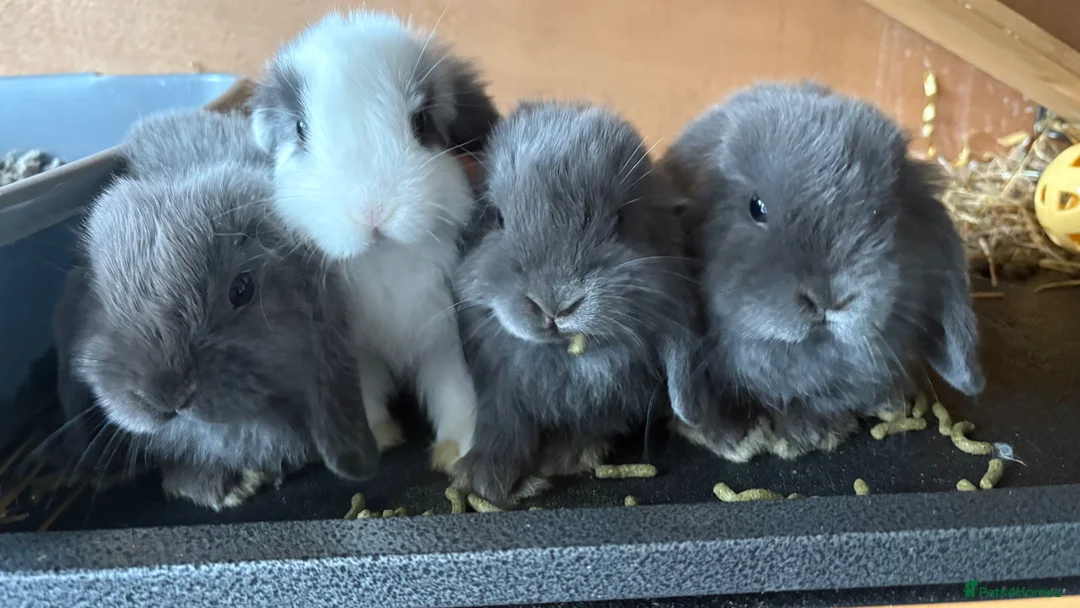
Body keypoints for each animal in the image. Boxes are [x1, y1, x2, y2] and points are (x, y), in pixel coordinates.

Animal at [248, 9, 501, 473]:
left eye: (421, 122)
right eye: (301, 129)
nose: (373, 213)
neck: (385, 260)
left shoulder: (446, 342)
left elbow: (454, 392)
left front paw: (457, 452)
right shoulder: (356, 353)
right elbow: (365, 393)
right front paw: (380, 437)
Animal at [451, 100, 707, 507]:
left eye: (621, 218)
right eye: (496, 217)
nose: (554, 304)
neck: (563, 358)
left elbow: (591, 421)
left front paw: (564, 457)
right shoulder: (499, 386)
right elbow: (504, 425)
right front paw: (483, 478)